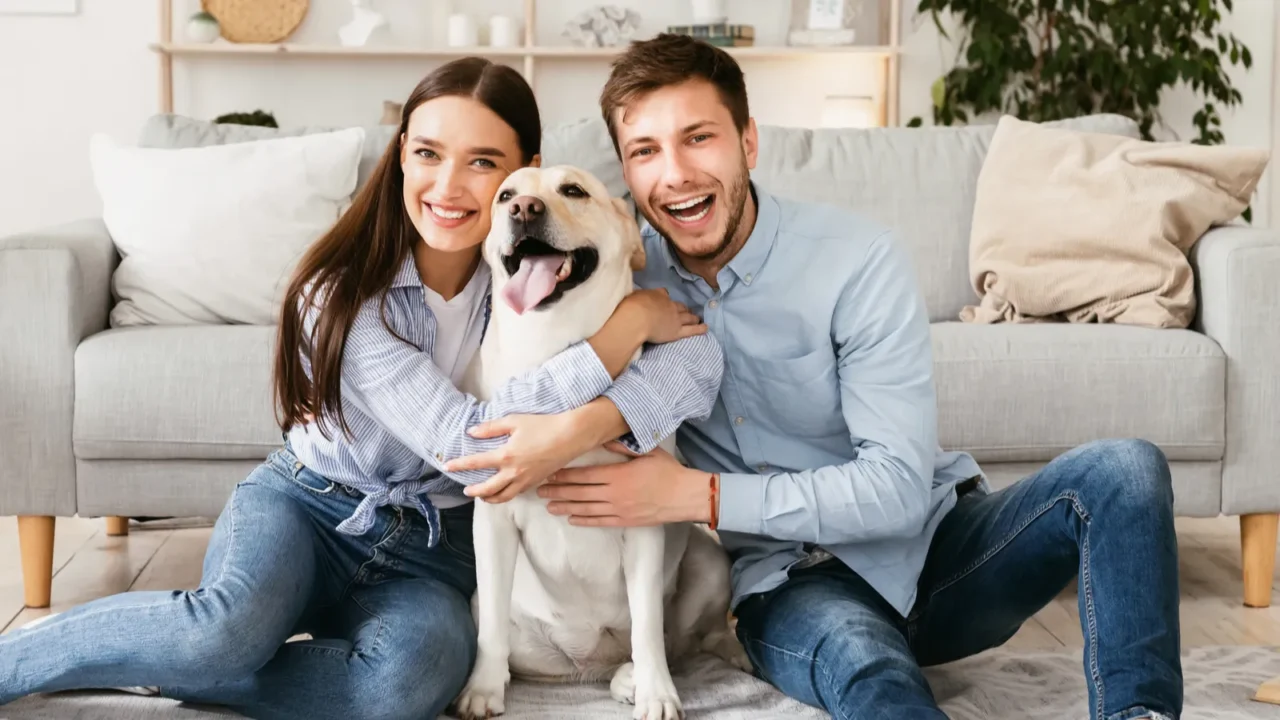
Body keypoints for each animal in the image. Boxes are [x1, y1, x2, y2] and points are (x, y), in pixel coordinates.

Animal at [455, 166, 747, 717]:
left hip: (708, 558)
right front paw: (481, 689)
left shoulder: (643, 521)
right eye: (505, 195)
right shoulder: (493, 521)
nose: (523, 209)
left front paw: (657, 694)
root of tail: (587, 665)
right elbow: (491, 634)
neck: (553, 349)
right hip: (489, 611)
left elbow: (648, 626)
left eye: (573, 191)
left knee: (685, 640)